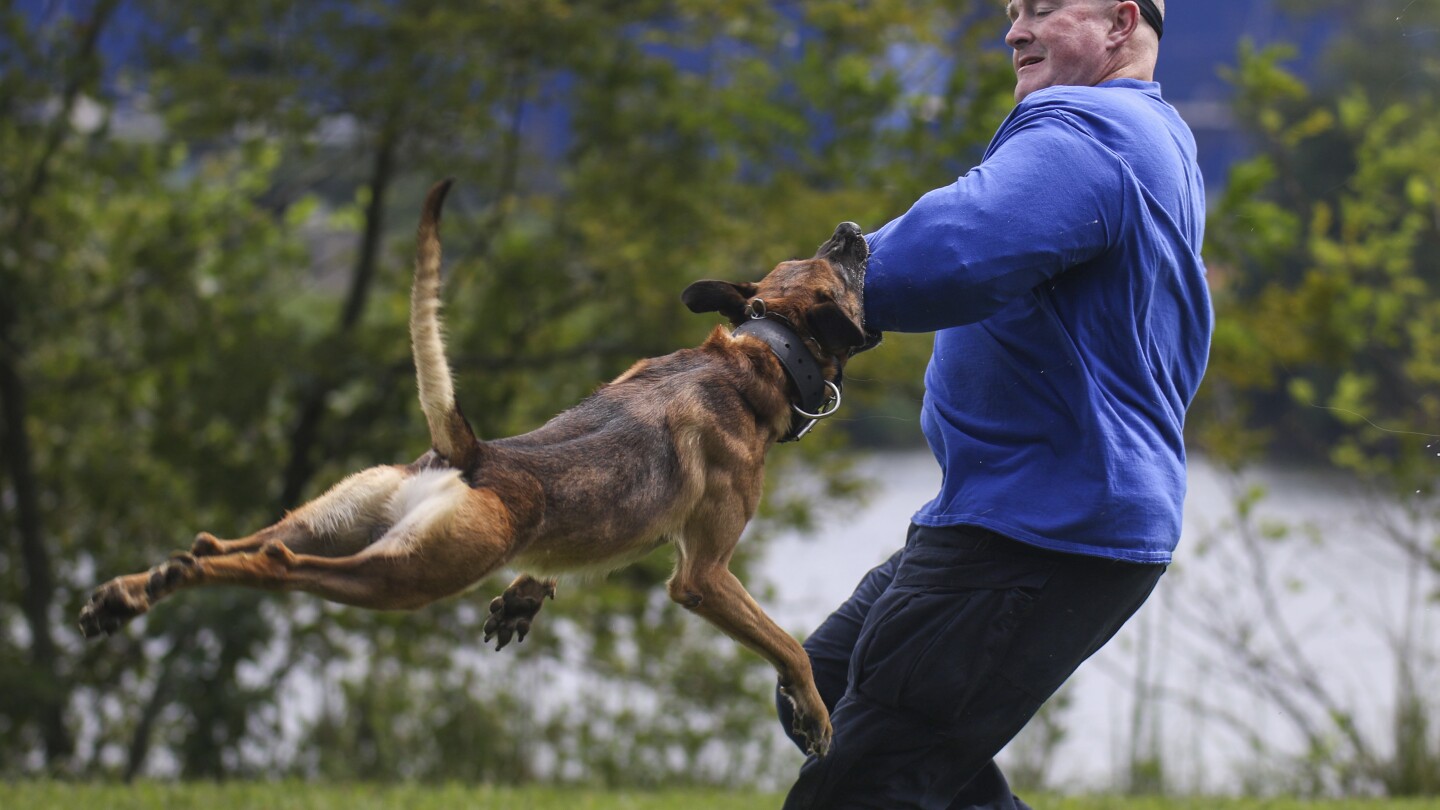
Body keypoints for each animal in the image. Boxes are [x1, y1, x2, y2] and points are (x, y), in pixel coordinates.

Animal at [78, 179, 875, 755]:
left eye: (816, 254)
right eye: (840, 268)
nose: (850, 229)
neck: (762, 349)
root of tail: (470, 453)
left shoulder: (607, 526)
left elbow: (565, 553)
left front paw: (524, 597)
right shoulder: (704, 576)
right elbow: (789, 647)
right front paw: (814, 715)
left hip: (340, 518)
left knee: (218, 545)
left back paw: (133, 592)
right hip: (408, 572)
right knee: (277, 565)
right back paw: (164, 586)